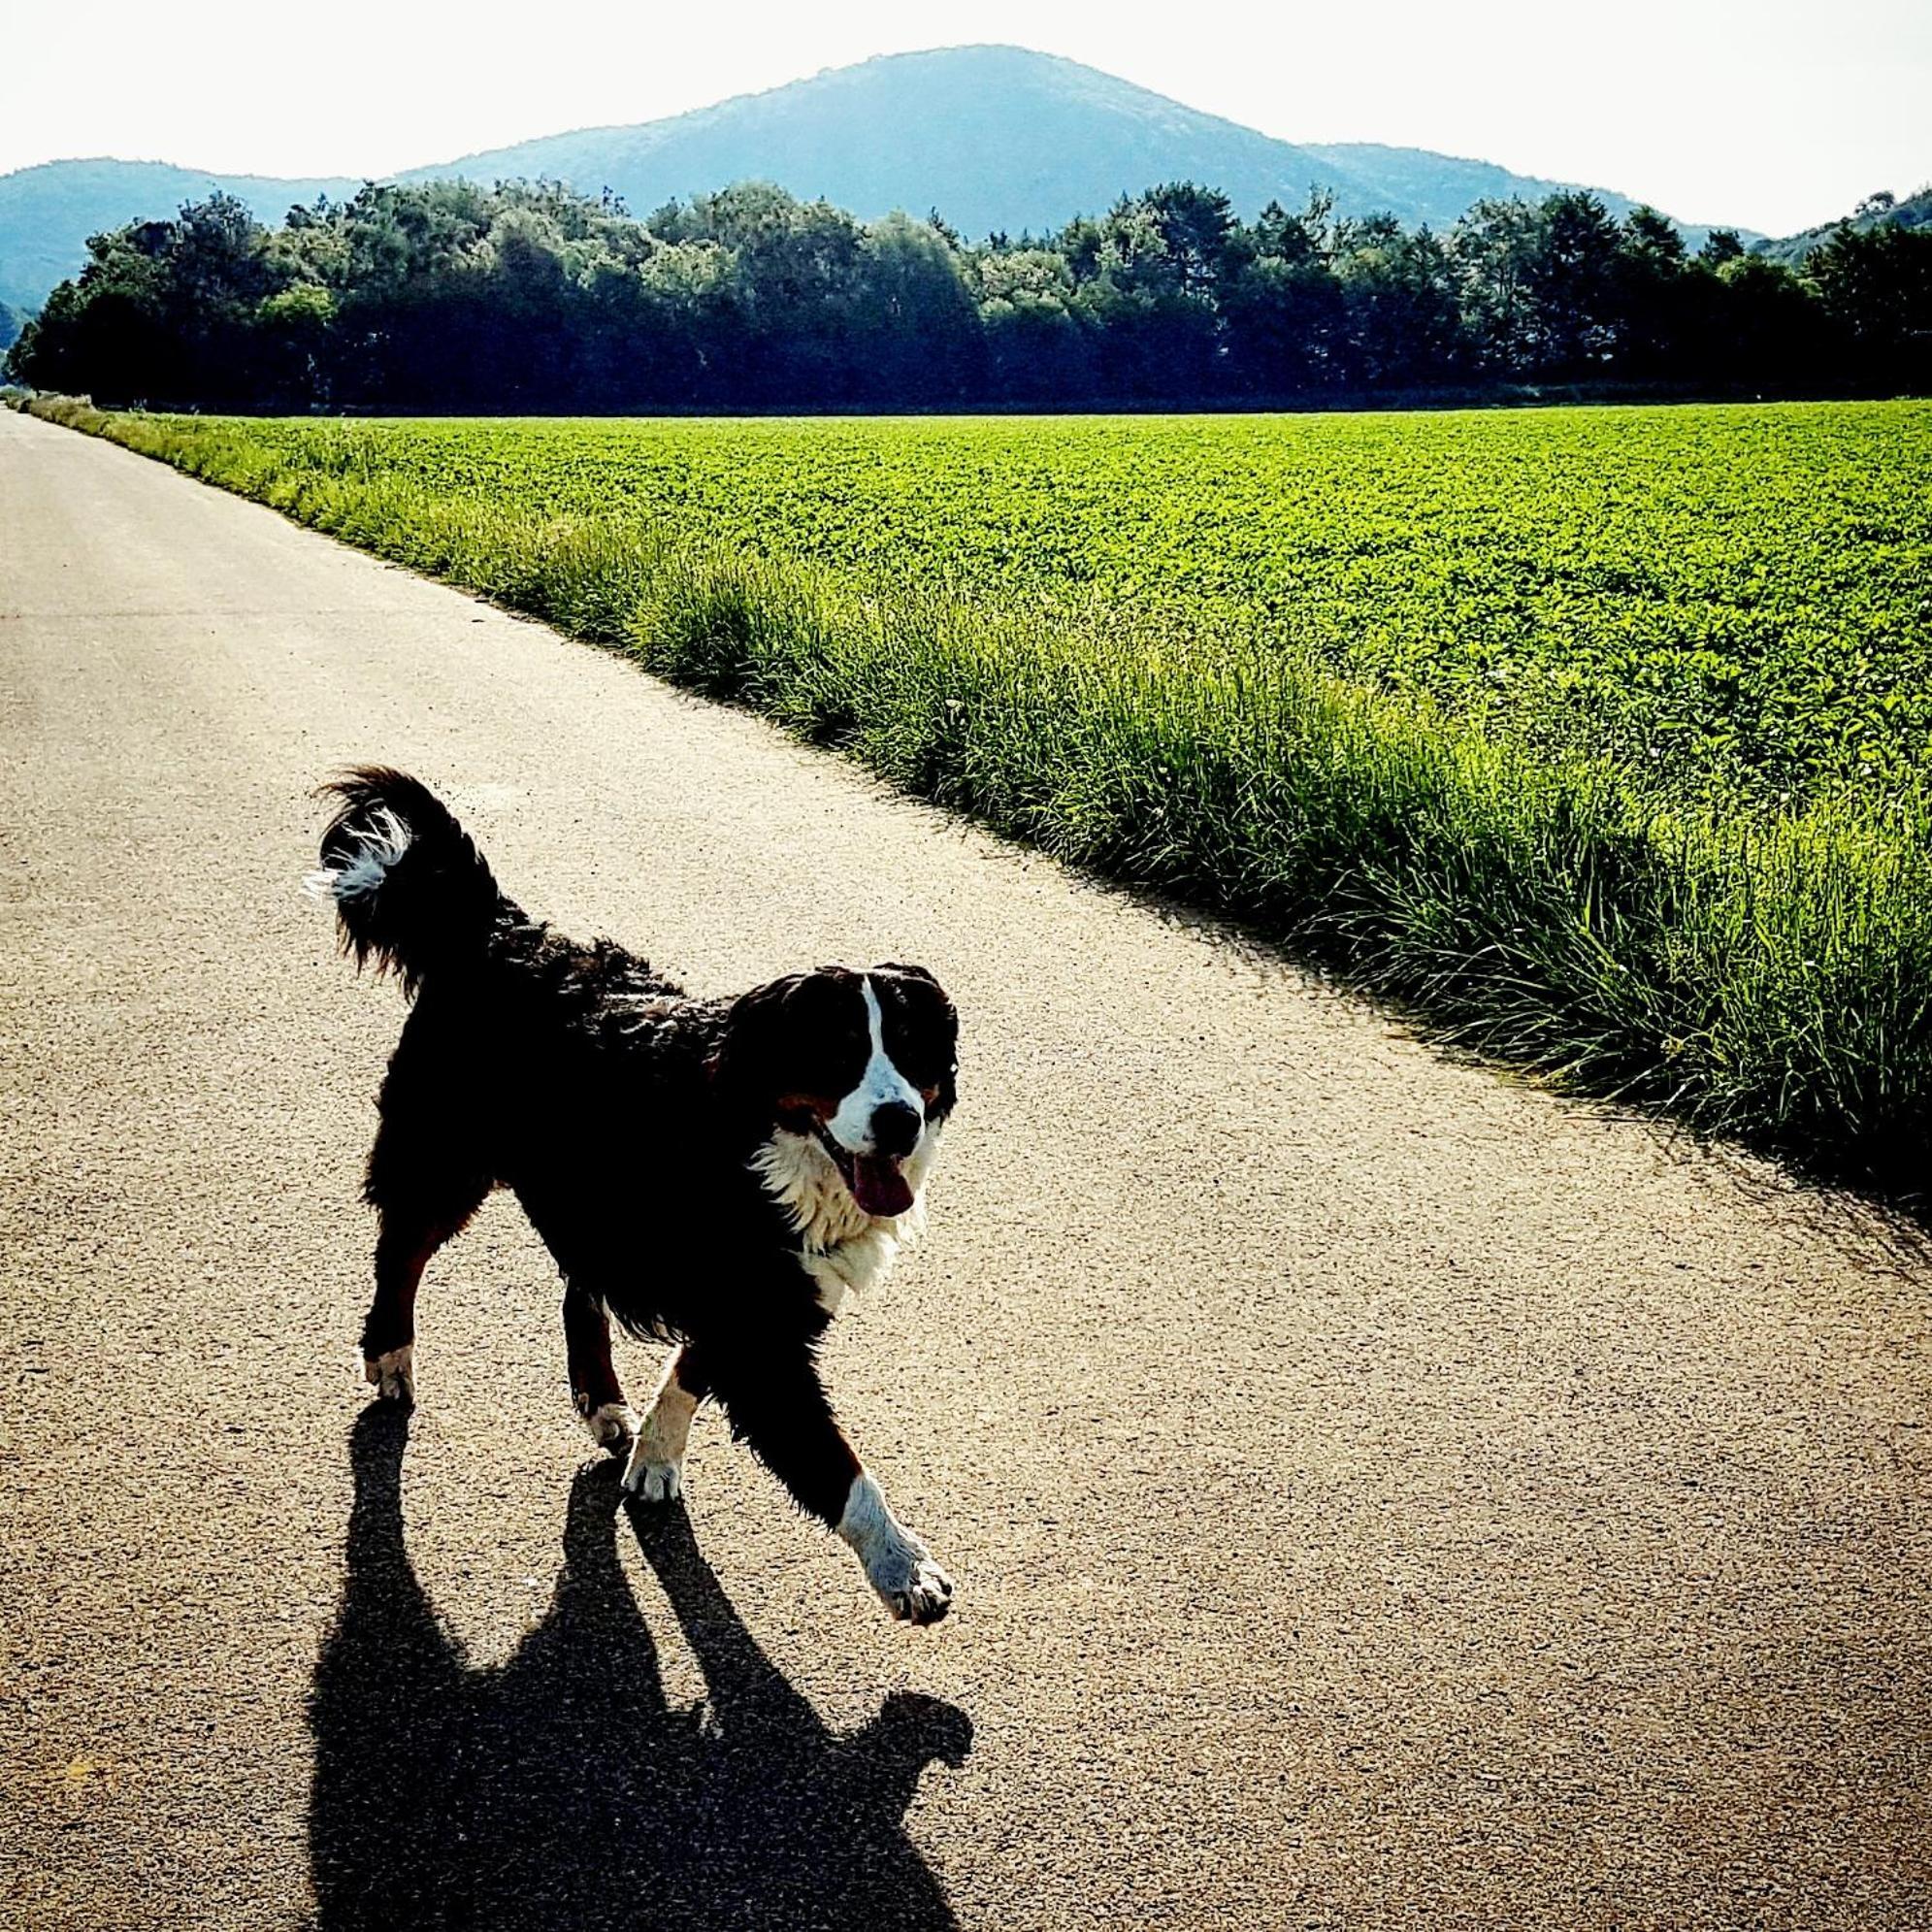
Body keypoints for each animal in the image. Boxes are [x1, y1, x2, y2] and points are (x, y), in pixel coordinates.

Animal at [301, 761, 958, 1622]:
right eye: (838, 1053)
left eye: (912, 1050)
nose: (898, 1120)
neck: (758, 1141)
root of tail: (502, 929)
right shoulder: (756, 1321)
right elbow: (835, 1463)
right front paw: (901, 1563)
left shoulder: (753, 1293)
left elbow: (691, 1370)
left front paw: (654, 1452)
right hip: (447, 1153)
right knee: (402, 1247)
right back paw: (390, 1353)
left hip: (589, 1191)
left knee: (578, 1288)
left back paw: (600, 1397)